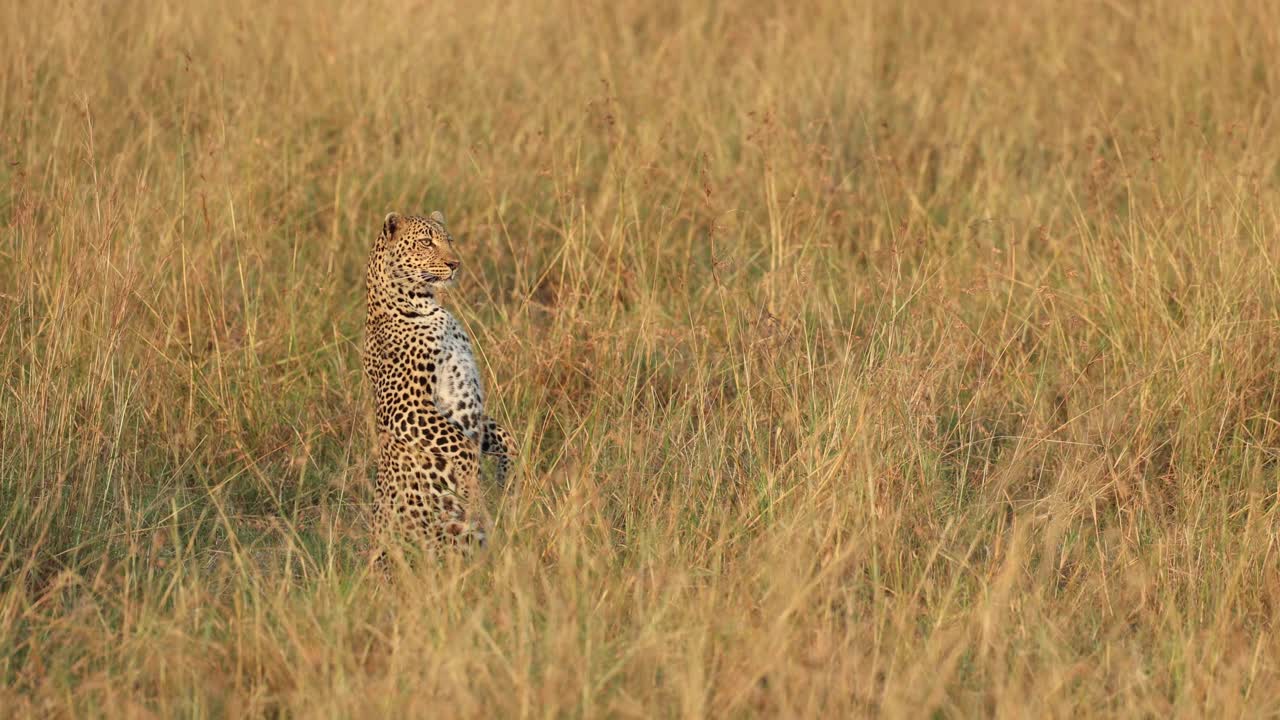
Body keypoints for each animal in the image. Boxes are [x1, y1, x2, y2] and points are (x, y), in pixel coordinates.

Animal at [363, 210, 515, 555]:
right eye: (425, 242)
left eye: (449, 240)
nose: (455, 263)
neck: (428, 307)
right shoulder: (405, 409)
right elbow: (461, 445)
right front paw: (473, 491)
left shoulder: (472, 413)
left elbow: (503, 436)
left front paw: (510, 480)